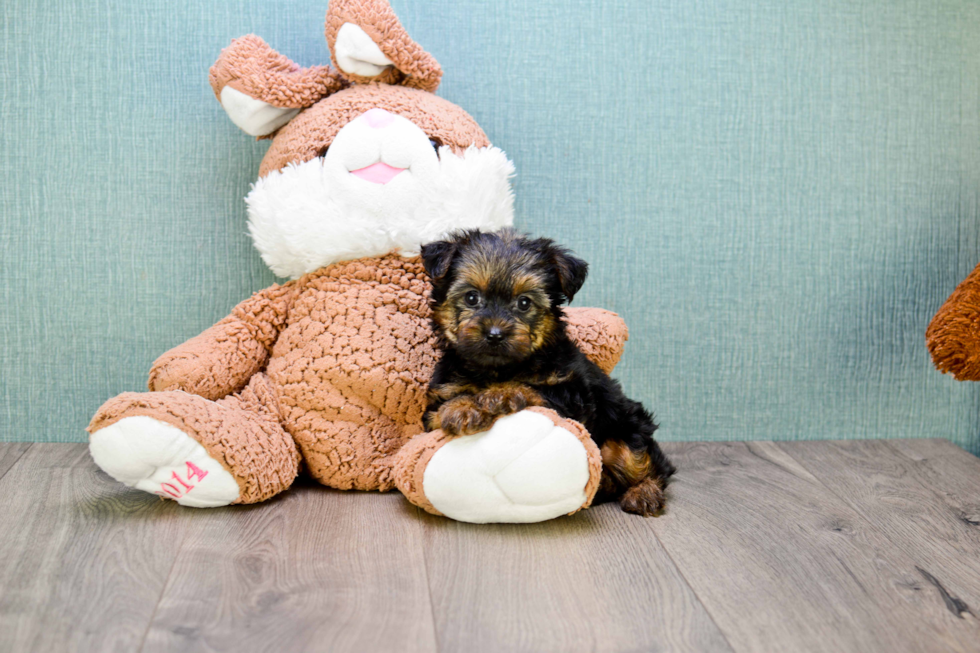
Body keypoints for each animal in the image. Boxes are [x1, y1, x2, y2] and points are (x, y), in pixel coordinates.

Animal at [422, 228, 672, 516]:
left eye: (524, 303)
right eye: (472, 297)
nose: (494, 334)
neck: (497, 370)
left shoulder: (573, 393)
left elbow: (537, 388)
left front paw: (503, 394)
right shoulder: (438, 397)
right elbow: (439, 411)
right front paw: (462, 408)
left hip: (627, 429)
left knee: (650, 463)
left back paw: (644, 492)